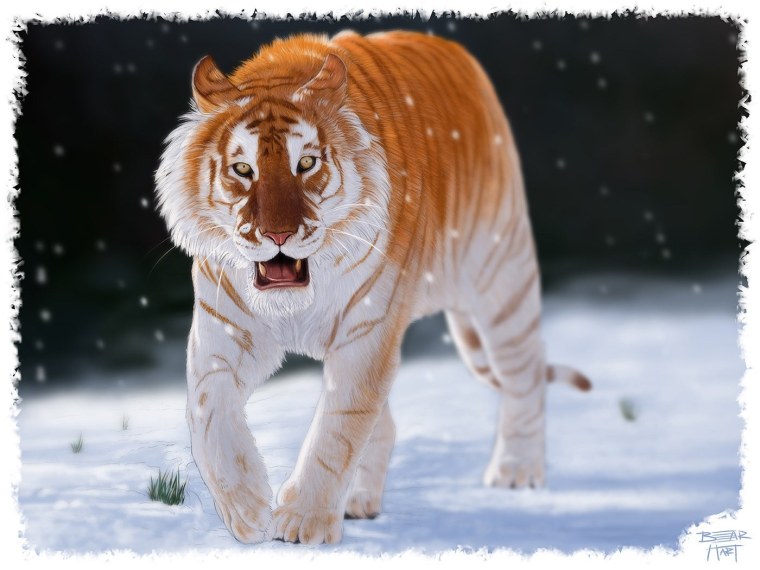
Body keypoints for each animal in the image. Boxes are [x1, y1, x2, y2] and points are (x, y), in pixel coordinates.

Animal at [155, 29, 590, 545]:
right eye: (243, 170)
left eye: (306, 163)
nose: (277, 235)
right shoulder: (222, 332)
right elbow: (208, 415)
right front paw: (248, 510)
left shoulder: (368, 332)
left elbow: (337, 429)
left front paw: (302, 524)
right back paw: (358, 502)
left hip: (501, 278)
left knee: (525, 373)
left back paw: (517, 473)